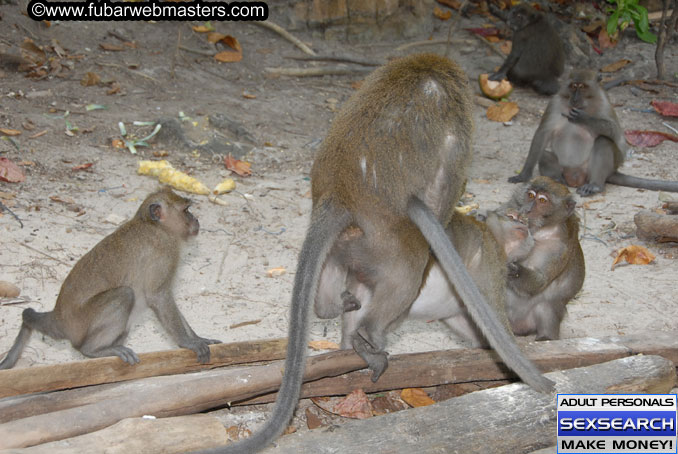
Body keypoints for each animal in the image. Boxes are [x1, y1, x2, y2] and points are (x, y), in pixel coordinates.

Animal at [0, 188, 220, 368]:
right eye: (186, 211)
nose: (196, 219)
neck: (153, 225)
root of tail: (58, 316)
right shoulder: (165, 251)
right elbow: (158, 296)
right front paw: (188, 342)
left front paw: (198, 338)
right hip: (82, 322)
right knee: (125, 294)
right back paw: (92, 350)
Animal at [502, 177, 588, 340]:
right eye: (530, 195)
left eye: (542, 200)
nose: (527, 210)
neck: (539, 231)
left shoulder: (560, 249)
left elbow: (539, 282)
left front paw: (513, 270)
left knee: (546, 306)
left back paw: (545, 337)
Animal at [512, 68, 678, 195]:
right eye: (573, 86)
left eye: (582, 87)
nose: (575, 98)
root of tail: (575, 179)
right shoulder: (555, 103)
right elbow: (542, 134)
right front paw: (524, 175)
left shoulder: (604, 103)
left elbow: (616, 134)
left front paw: (584, 118)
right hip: (564, 169)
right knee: (544, 155)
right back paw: (558, 181)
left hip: (593, 171)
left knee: (603, 141)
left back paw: (595, 186)